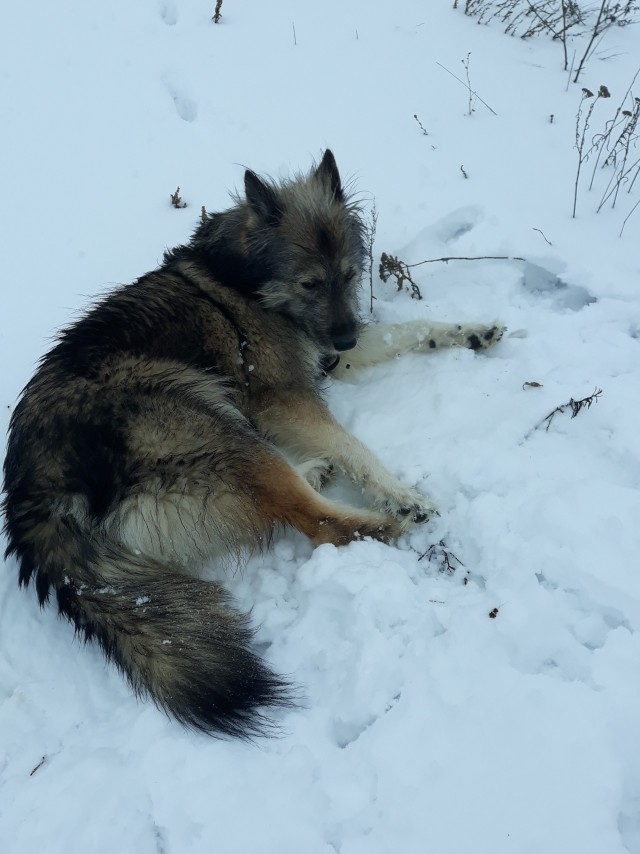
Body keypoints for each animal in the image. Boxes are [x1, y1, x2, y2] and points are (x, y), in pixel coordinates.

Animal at [1, 150, 504, 740]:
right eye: (309, 284)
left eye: (348, 276)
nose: (346, 338)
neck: (243, 280)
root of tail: (32, 491)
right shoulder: (283, 399)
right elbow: (355, 447)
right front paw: (398, 493)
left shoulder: (328, 356)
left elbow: (413, 329)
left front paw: (471, 331)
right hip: (211, 411)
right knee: (318, 521)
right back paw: (393, 524)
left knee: (282, 499)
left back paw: (315, 472)